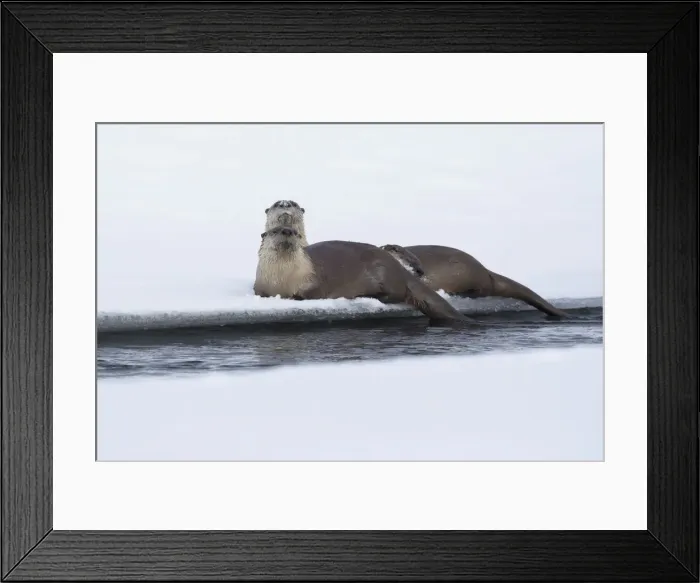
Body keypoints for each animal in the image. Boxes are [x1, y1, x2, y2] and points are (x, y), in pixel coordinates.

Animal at [254, 226, 472, 326]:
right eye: (276, 231)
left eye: (294, 233)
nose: (287, 231)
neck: (282, 279)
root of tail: (398, 268)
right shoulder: (261, 283)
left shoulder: (313, 282)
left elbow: (309, 295)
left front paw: (293, 298)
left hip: (383, 273)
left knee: (395, 295)